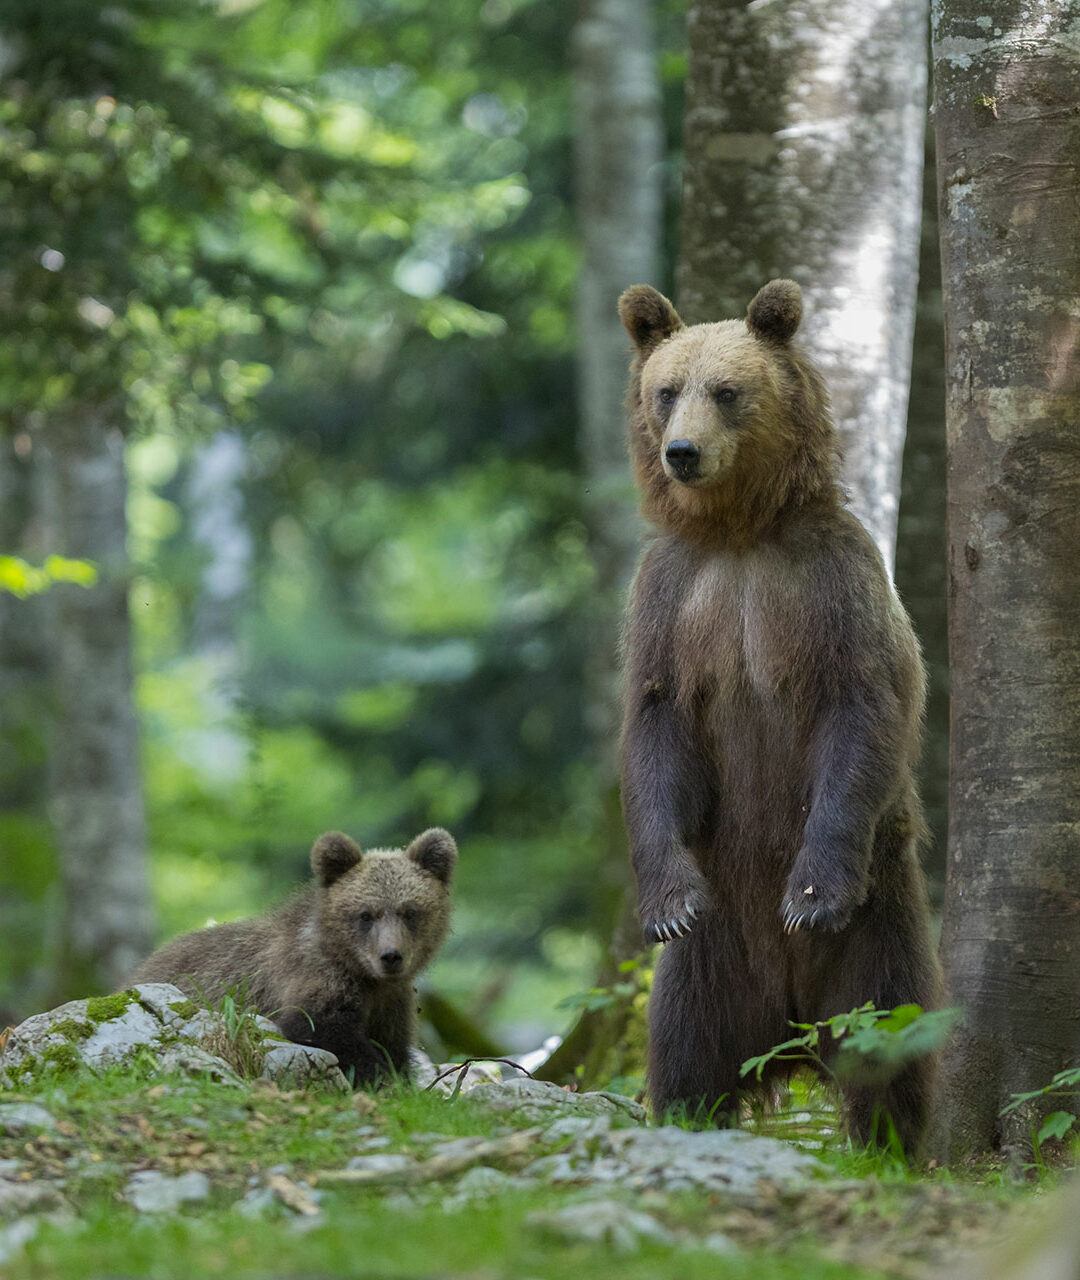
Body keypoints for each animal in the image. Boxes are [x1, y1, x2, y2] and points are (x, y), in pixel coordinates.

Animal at [126, 824, 455, 1085]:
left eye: (410, 911)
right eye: (365, 914)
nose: (390, 956)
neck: (363, 974)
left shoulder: (391, 1004)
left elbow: (393, 1045)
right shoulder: (312, 978)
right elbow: (319, 1026)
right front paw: (380, 1077)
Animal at [616, 280, 946, 1152]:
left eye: (728, 390)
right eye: (667, 390)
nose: (682, 452)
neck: (738, 532)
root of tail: (790, 1035)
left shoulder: (828, 587)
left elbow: (859, 711)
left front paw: (810, 893)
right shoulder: (671, 600)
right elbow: (655, 728)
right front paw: (665, 902)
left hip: (878, 928)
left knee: (888, 1037)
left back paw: (890, 1145)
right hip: (715, 953)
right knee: (685, 1047)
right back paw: (688, 1115)